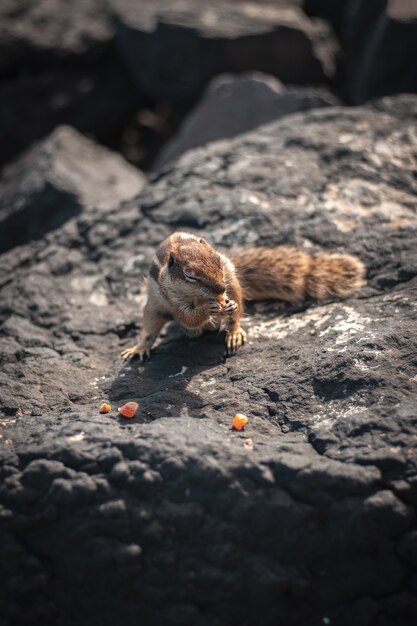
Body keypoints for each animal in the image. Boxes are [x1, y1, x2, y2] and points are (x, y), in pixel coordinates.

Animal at [120, 230, 364, 358]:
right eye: (190, 276)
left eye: (217, 260)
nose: (220, 290)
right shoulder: (171, 297)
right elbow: (188, 317)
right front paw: (207, 310)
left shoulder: (227, 277)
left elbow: (233, 304)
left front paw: (230, 307)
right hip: (155, 307)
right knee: (152, 328)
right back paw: (138, 349)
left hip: (233, 279)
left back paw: (234, 332)